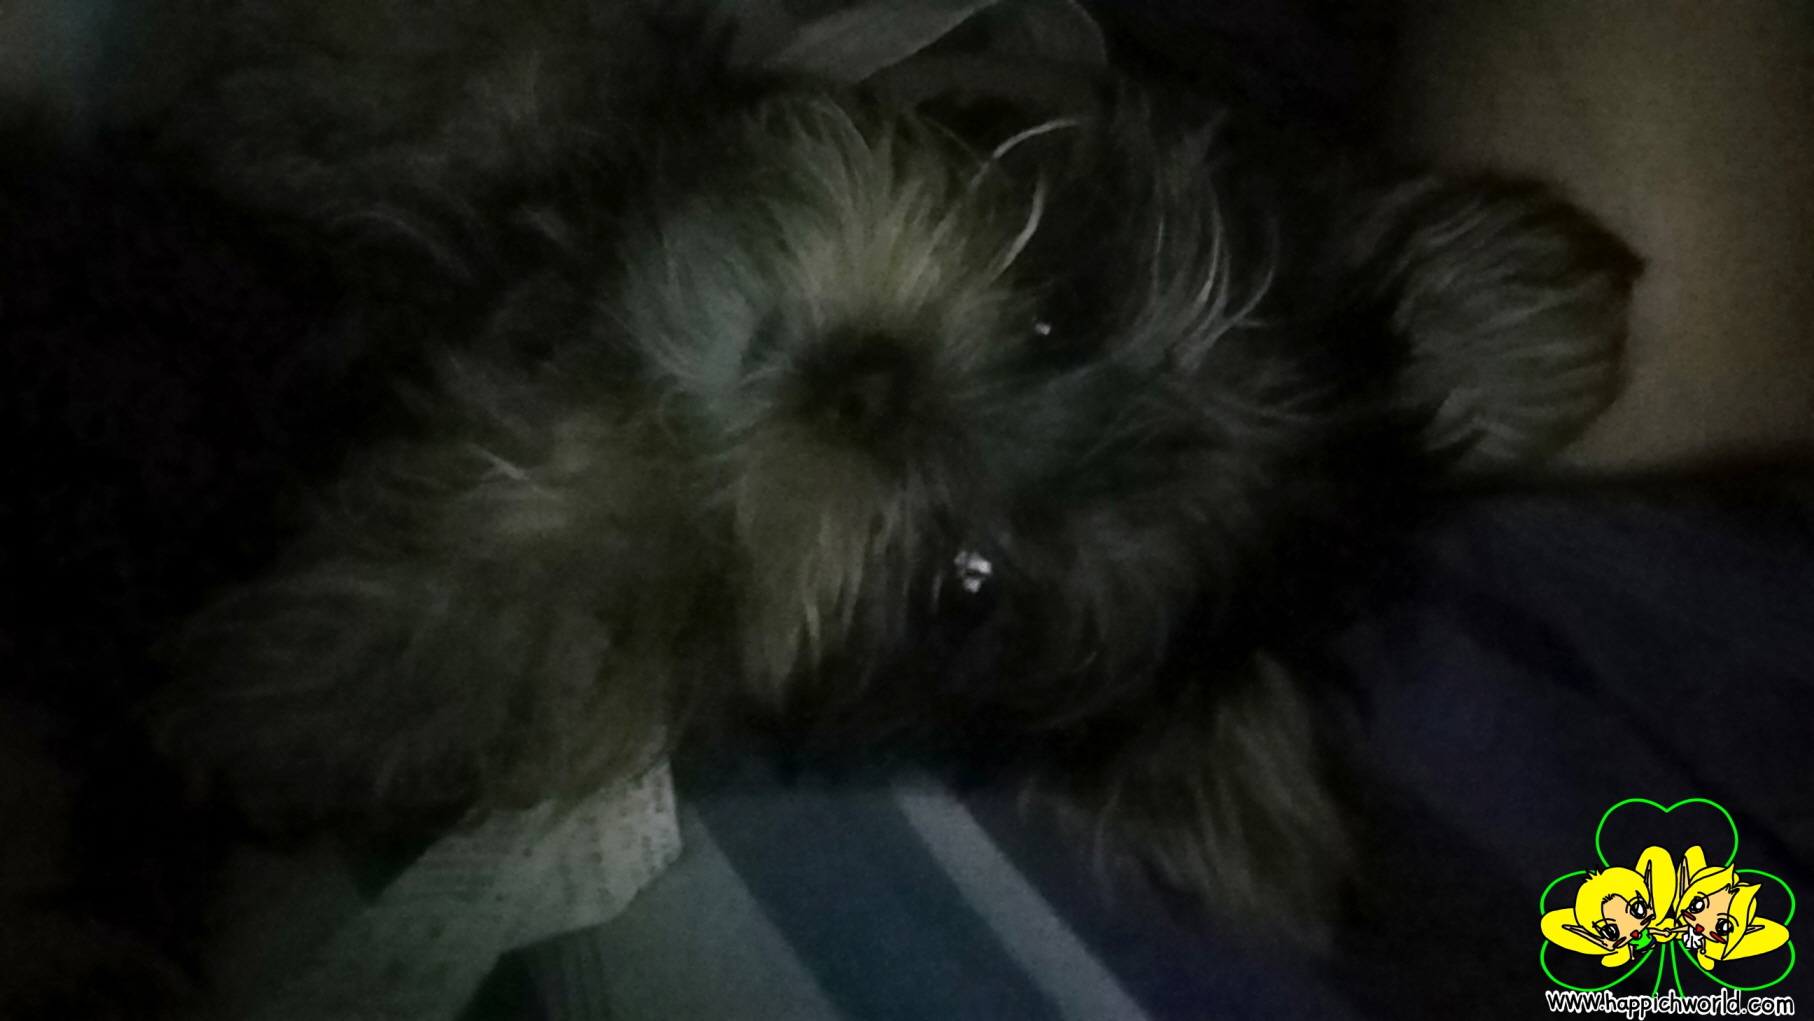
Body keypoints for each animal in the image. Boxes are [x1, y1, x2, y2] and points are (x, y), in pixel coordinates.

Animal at [76, 0, 1637, 964]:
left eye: (968, 581)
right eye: (1061, 310)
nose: (866, 385)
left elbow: (577, 564)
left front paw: (309, 688)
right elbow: (503, 68)